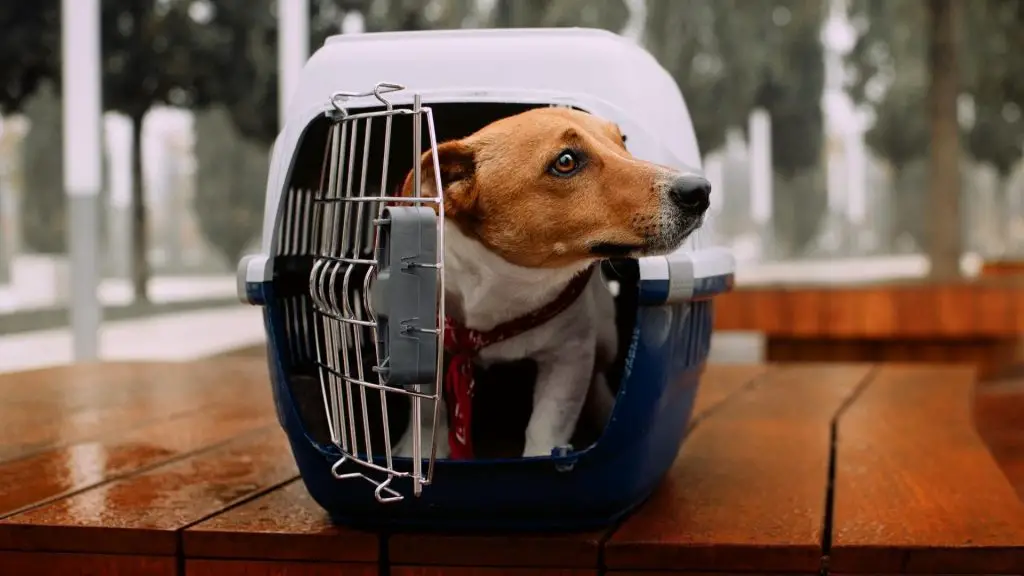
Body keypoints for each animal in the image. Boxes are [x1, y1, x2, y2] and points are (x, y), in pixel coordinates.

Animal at [391, 106, 712, 457]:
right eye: (566, 161)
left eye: (622, 141)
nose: (700, 190)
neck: (501, 287)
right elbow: (426, 415)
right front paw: (418, 451)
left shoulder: (569, 357)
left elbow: (546, 426)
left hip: (605, 339)